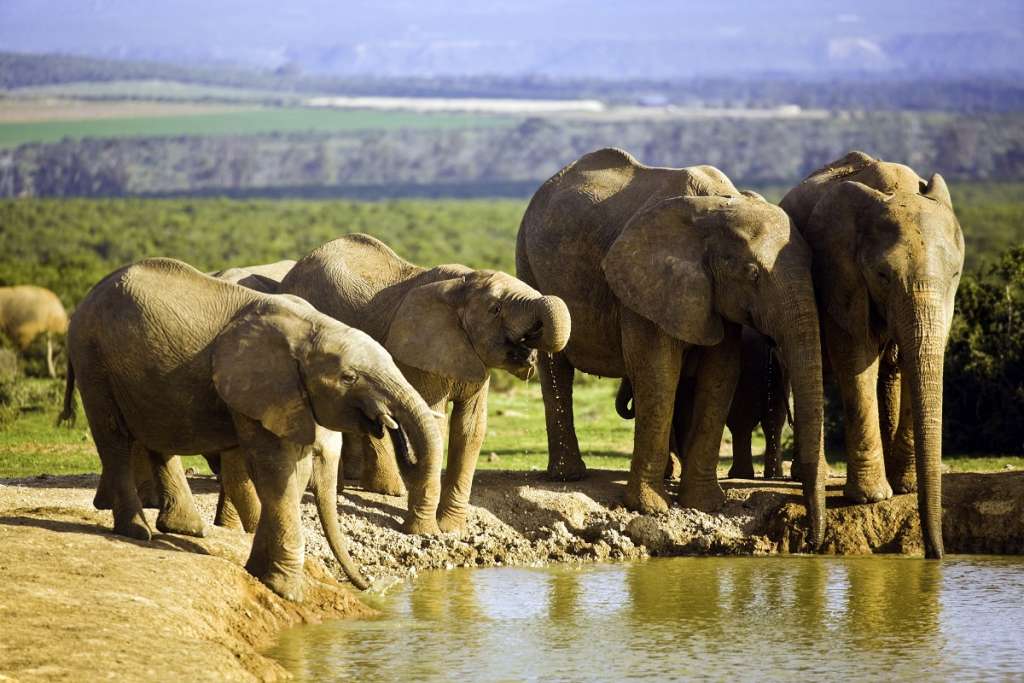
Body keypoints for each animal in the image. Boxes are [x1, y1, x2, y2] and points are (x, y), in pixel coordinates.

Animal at [58, 259, 444, 602]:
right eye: (349, 377)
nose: (371, 586)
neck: (311, 328)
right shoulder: (255, 386)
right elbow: (275, 470)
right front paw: (286, 592)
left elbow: (290, 473)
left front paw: (260, 574)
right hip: (92, 357)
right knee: (113, 437)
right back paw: (137, 531)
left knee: (158, 433)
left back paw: (188, 529)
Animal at [280, 235, 573, 532]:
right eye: (495, 309)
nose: (532, 343)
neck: (462, 284)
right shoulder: (422, 354)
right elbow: (436, 422)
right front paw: (423, 531)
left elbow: (470, 428)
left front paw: (451, 529)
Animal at [778, 150, 962, 561]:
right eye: (882, 276)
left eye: (956, 275)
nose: (936, 555)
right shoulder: (840, 275)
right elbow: (855, 357)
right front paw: (870, 498)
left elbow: (915, 359)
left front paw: (907, 489)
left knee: (890, 370)